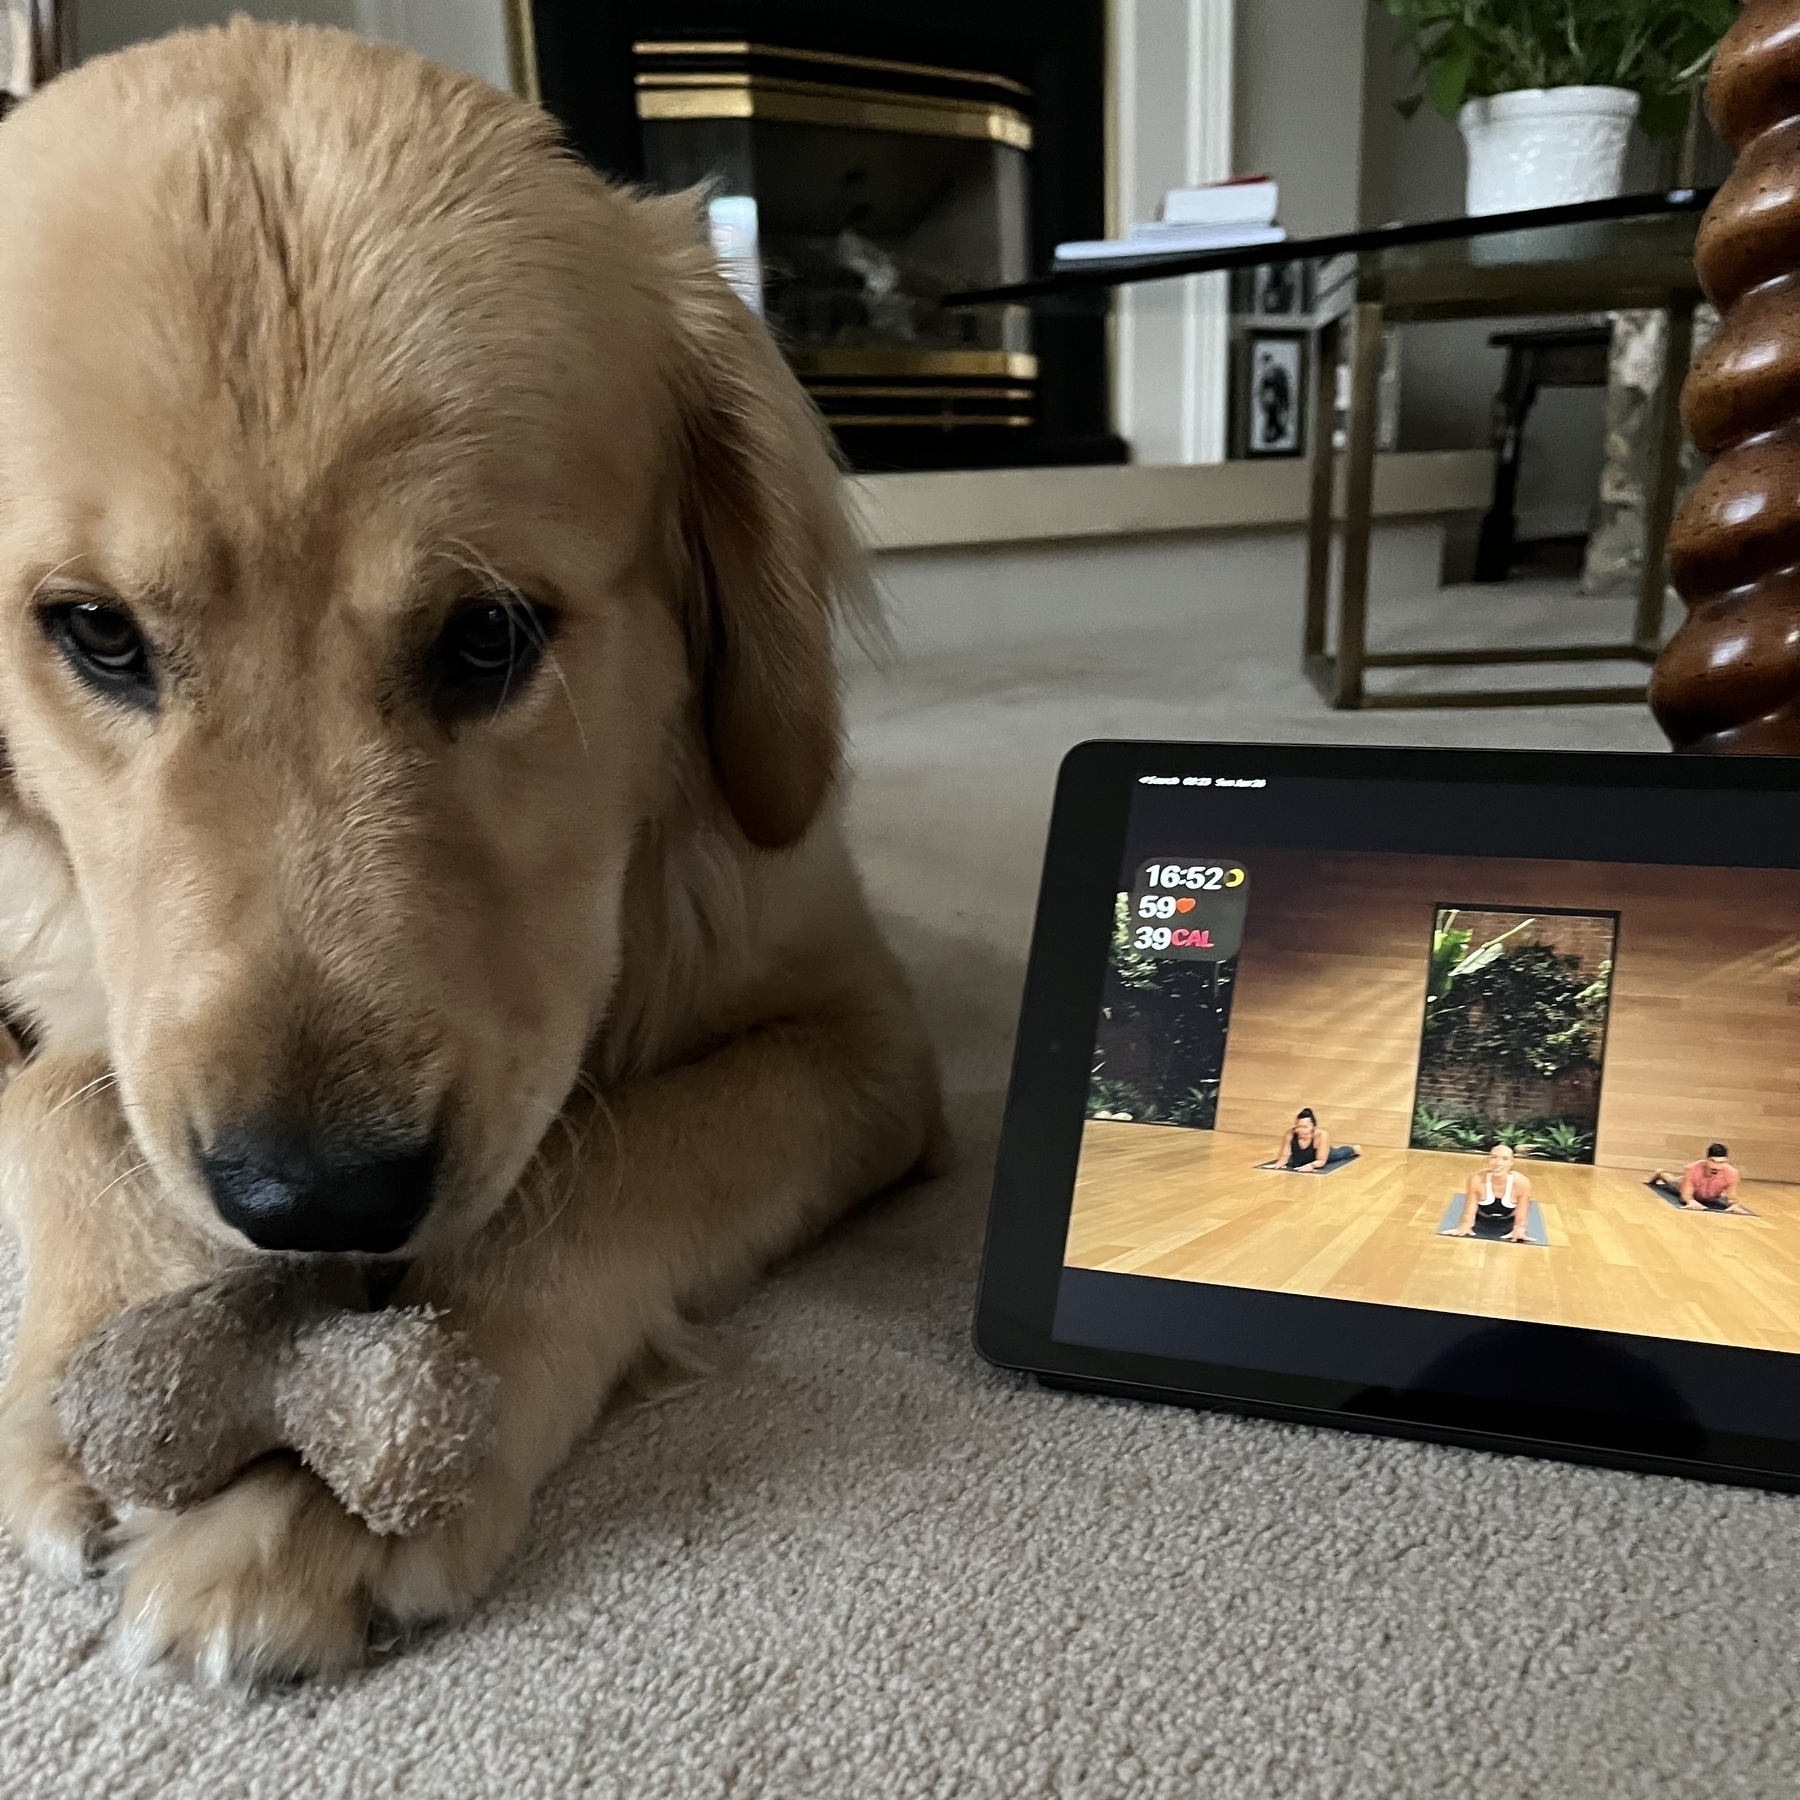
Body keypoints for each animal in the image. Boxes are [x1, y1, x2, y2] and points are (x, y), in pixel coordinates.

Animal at [0, 21, 943, 1684]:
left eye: (490, 634)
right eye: (96, 631)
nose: (313, 1202)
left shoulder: (857, 1033)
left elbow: (617, 1165)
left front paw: (310, 1496)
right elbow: (56, 1093)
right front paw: (76, 1393)